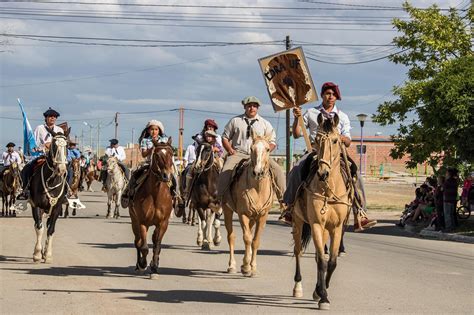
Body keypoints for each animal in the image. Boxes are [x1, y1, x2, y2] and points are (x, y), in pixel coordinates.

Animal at [29, 128, 69, 264]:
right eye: (54, 146)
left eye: (67, 147)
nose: (61, 169)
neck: (51, 181)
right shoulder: (37, 206)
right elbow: (39, 228)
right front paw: (37, 254)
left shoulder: (56, 209)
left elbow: (51, 230)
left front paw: (48, 255)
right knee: (39, 225)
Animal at [129, 138, 175, 278]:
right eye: (157, 155)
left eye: (171, 154)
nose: (166, 176)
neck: (155, 195)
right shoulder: (142, 222)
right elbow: (143, 246)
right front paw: (143, 264)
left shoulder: (163, 223)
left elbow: (157, 245)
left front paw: (154, 266)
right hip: (134, 221)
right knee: (137, 242)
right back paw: (138, 265)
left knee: (153, 240)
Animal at [223, 132, 274, 278]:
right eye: (251, 149)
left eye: (267, 149)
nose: (258, 172)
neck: (257, 188)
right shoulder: (243, 214)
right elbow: (246, 239)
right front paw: (246, 267)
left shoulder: (262, 216)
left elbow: (255, 241)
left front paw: (253, 267)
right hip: (227, 210)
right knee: (231, 236)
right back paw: (232, 266)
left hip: (252, 217)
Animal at [290, 114, 354, 312]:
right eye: (317, 140)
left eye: (335, 140)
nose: (322, 173)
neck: (328, 190)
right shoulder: (317, 224)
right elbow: (323, 262)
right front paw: (323, 296)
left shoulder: (337, 227)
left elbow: (330, 261)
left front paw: (321, 292)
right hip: (298, 222)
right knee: (298, 252)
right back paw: (298, 287)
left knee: (319, 257)